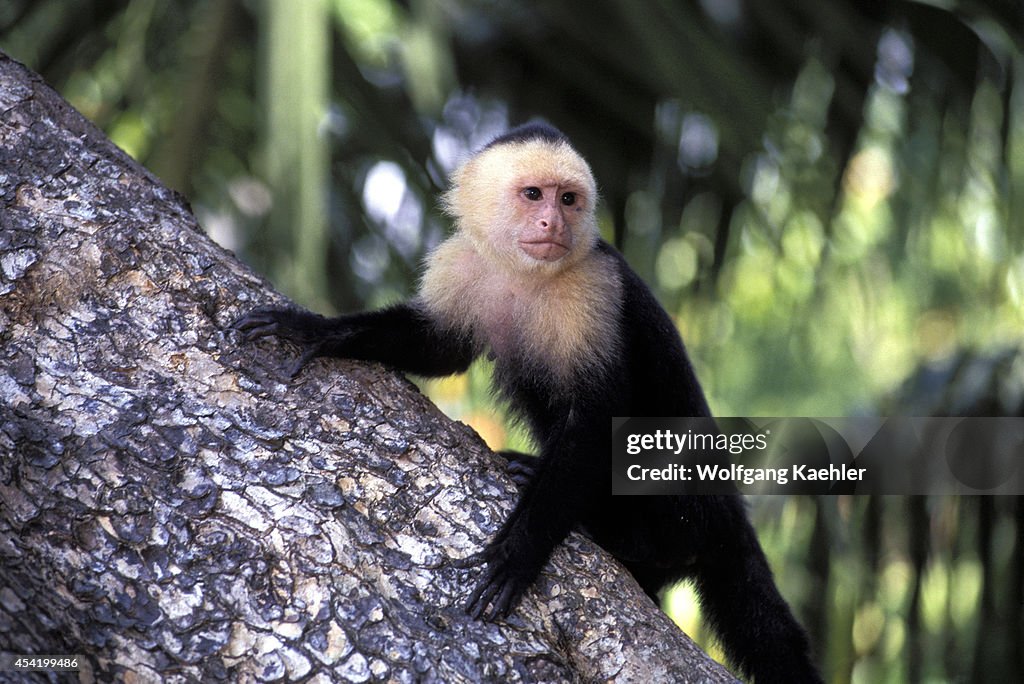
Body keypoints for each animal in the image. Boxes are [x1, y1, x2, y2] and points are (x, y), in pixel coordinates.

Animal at [232, 124, 823, 684]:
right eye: (534, 194)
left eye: (569, 200)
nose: (552, 224)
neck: (524, 274)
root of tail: (728, 510)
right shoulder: (462, 262)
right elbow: (436, 346)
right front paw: (315, 329)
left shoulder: (594, 287)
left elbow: (594, 422)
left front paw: (519, 553)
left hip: (690, 506)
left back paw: (613, 535)